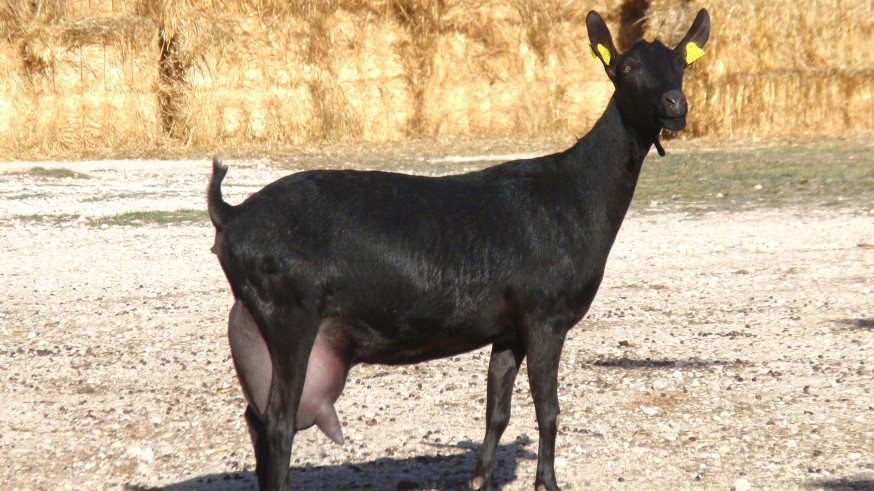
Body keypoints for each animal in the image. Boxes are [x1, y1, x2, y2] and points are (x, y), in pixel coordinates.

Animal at [207, 9, 710, 491]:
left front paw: (480, 478)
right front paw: (547, 482)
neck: (575, 192)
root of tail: (229, 214)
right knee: (278, 423)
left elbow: (497, 410)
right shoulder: (545, 317)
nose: (675, 105)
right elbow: (548, 409)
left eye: (682, 64)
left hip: (260, 325)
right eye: (626, 67)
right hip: (289, 316)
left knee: (257, 420)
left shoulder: (509, 329)